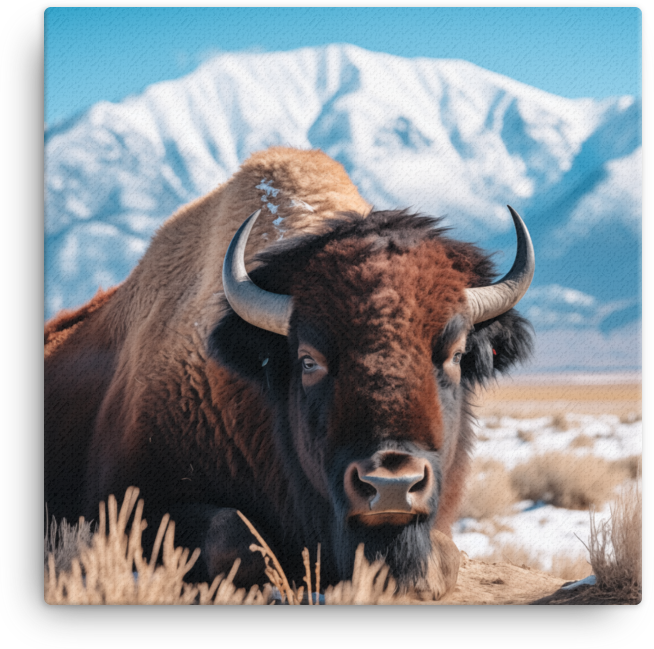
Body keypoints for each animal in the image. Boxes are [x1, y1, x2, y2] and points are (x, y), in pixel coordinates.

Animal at [45, 147, 534, 597]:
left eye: (455, 354)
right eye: (308, 359)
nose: (392, 484)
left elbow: (443, 556)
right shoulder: (131, 504)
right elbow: (236, 536)